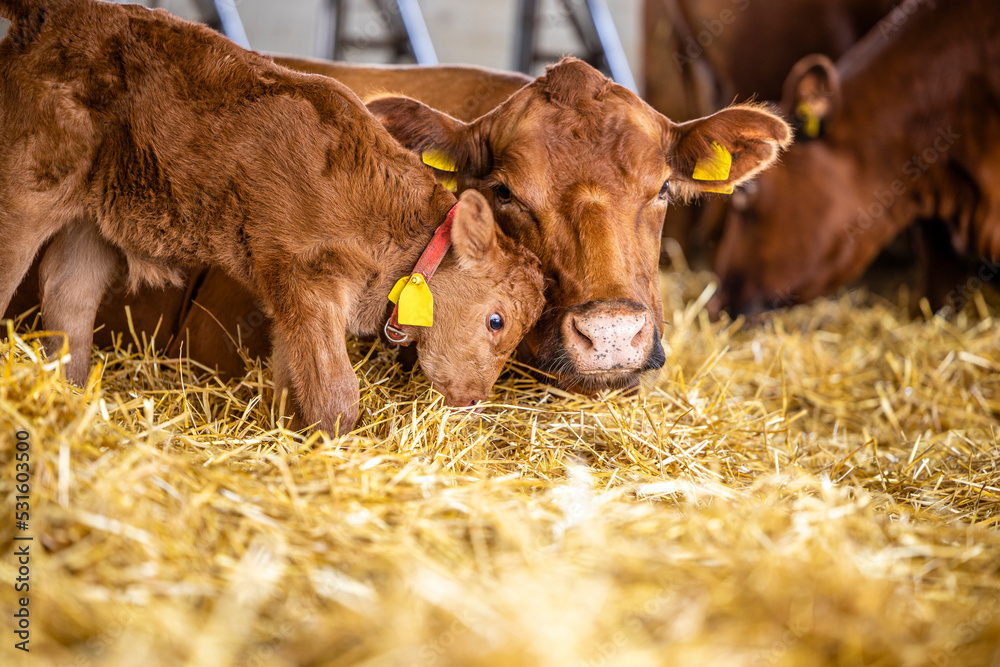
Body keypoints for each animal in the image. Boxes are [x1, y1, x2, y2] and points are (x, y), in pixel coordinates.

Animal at [0, 0, 547, 433]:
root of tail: (57, 15)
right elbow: (335, 394)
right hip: (27, 185)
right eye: (496, 320)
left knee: (68, 298)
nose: (474, 398)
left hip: (91, 217)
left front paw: (293, 439)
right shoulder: (305, 278)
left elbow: (293, 381)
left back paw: (70, 396)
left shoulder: (290, 301)